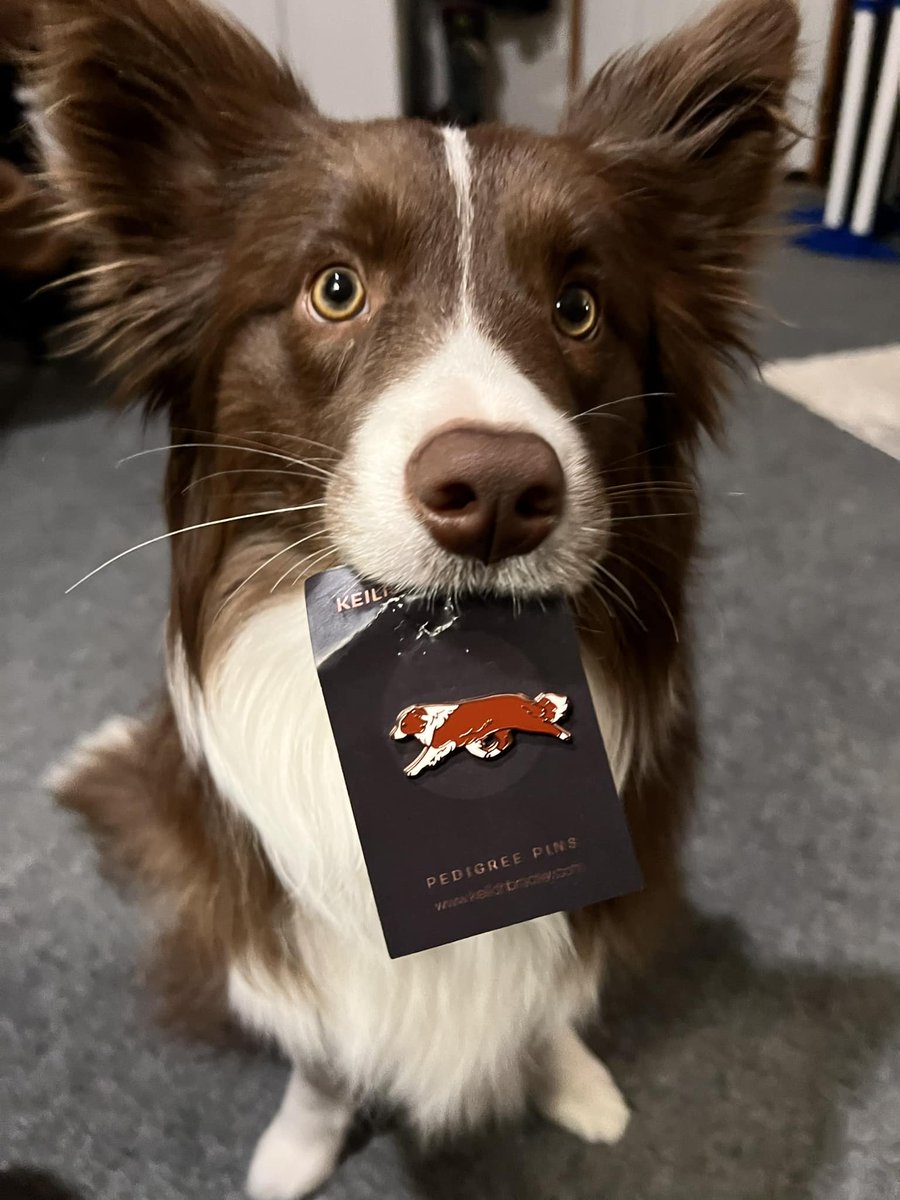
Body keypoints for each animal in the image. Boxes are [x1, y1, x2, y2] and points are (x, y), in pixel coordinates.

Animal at [33, 2, 796, 1190]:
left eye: (579, 307)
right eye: (335, 288)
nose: (498, 493)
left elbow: (547, 998)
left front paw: (571, 1079)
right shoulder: (298, 939)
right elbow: (322, 1047)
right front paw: (299, 1146)